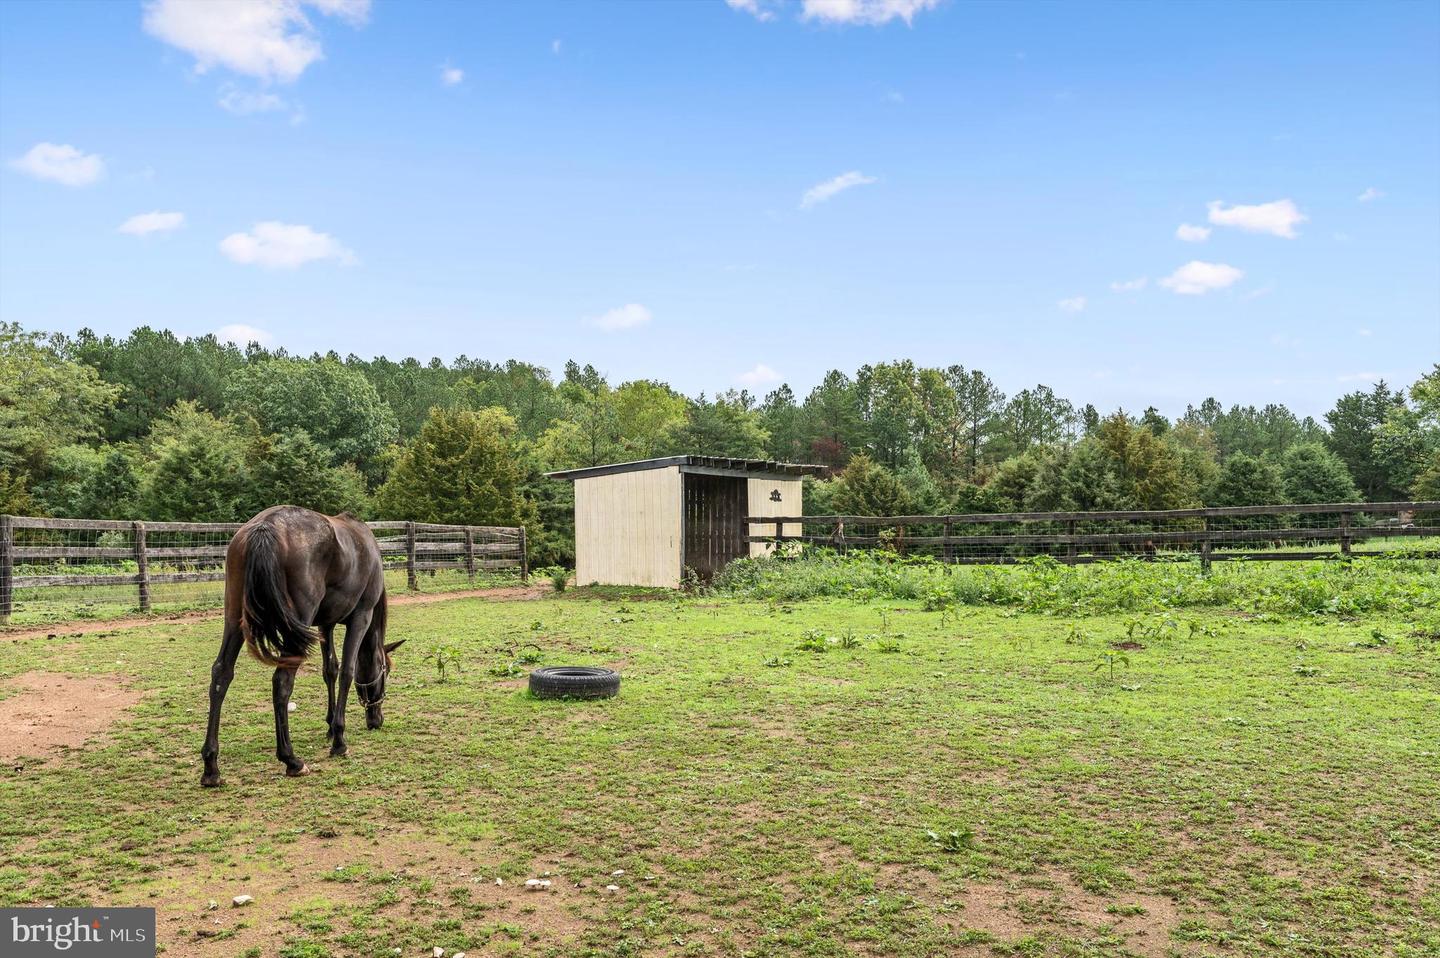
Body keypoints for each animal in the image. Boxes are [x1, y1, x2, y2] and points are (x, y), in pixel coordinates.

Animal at [200, 504, 403, 789]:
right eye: (386, 671)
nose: (377, 719)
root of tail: (265, 527)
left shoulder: (325, 624)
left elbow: (330, 669)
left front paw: (330, 725)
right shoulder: (361, 617)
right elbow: (347, 671)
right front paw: (339, 738)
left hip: (234, 617)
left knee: (221, 674)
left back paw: (211, 766)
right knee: (282, 681)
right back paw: (291, 759)